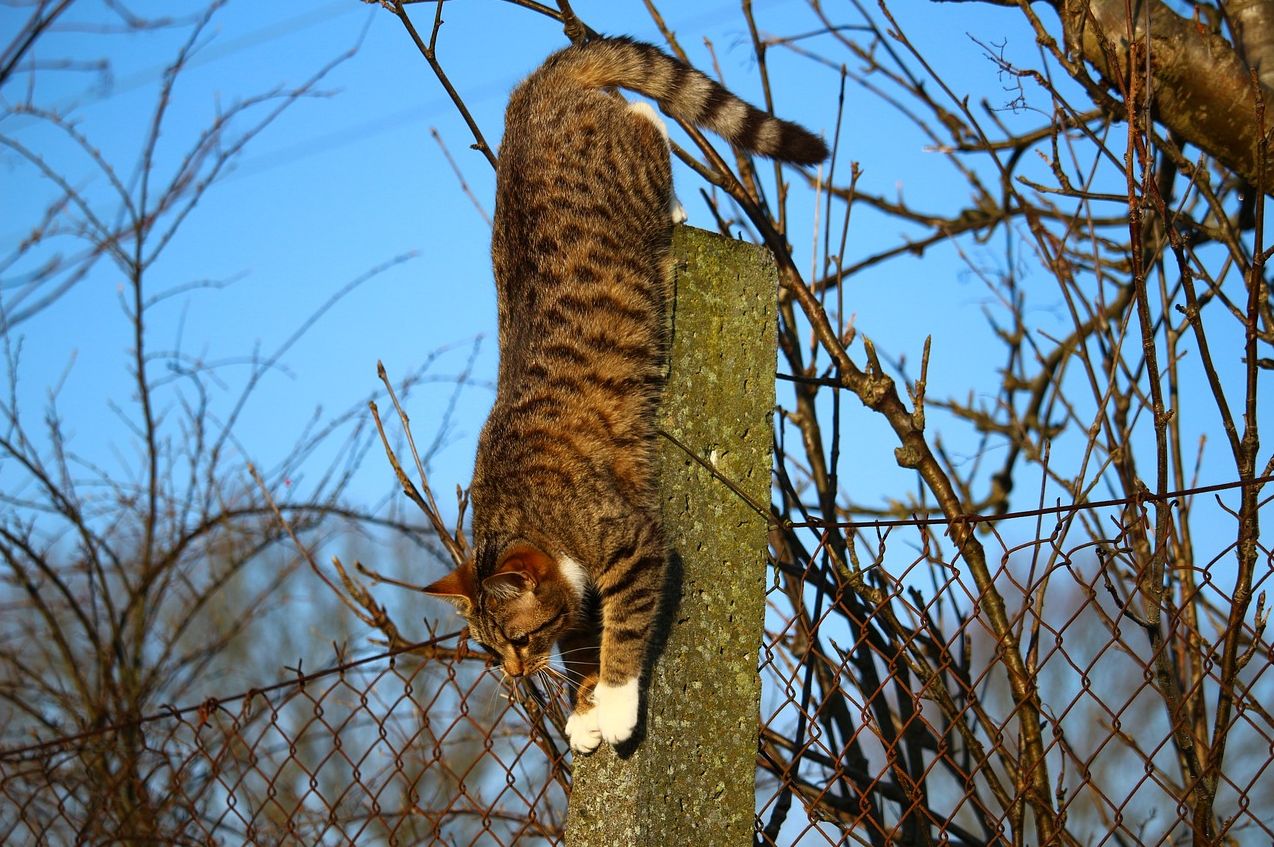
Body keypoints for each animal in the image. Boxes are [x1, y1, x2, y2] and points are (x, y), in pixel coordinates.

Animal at [422, 34, 830, 754]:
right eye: (492, 649)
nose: (516, 674)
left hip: (636, 164)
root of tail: (536, 89)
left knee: (646, 120)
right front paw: (585, 700)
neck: (520, 511)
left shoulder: (632, 539)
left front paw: (610, 701)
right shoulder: (578, 591)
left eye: (519, 639)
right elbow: (586, 636)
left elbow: (626, 625)